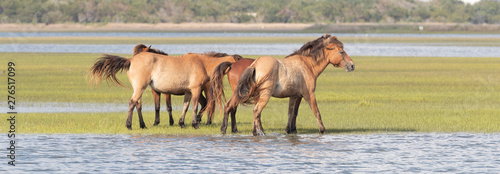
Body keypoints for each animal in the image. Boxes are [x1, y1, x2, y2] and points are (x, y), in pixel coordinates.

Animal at [90, 44, 242, 130]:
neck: (202, 63)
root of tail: (131, 60)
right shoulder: (195, 89)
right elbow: (194, 107)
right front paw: (194, 124)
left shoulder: (188, 91)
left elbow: (185, 106)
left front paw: (181, 123)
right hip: (140, 88)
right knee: (133, 103)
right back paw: (129, 126)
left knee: (137, 104)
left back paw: (143, 125)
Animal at [209, 34, 354, 136]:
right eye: (341, 52)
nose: (352, 65)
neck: (306, 65)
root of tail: (255, 64)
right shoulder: (308, 94)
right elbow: (316, 112)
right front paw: (323, 131)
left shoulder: (294, 96)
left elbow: (291, 113)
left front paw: (289, 130)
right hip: (261, 94)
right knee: (254, 110)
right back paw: (256, 132)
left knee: (231, 106)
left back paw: (226, 129)